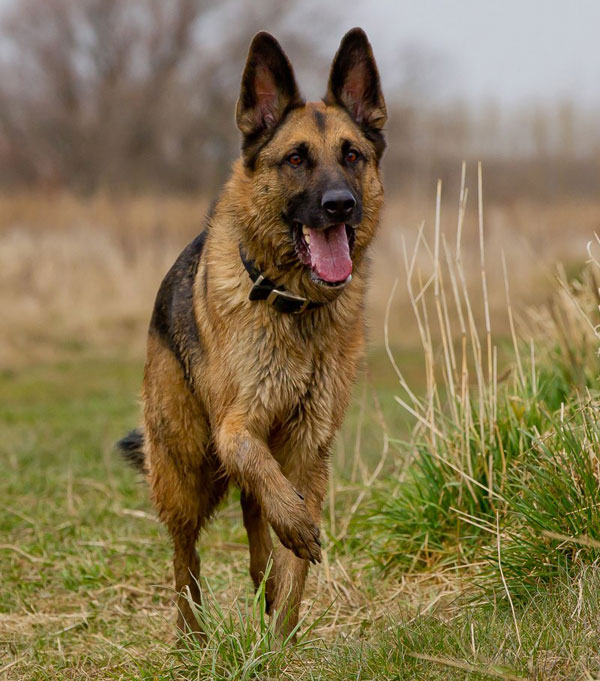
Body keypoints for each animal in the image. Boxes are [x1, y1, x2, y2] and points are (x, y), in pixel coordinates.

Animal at [119, 23, 386, 636]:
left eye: (352, 155)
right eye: (295, 159)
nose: (341, 205)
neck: (296, 307)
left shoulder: (310, 446)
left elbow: (293, 559)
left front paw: (281, 635)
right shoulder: (235, 425)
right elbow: (261, 471)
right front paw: (295, 526)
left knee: (250, 516)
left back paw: (261, 580)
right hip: (184, 465)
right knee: (184, 555)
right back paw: (191, 634)